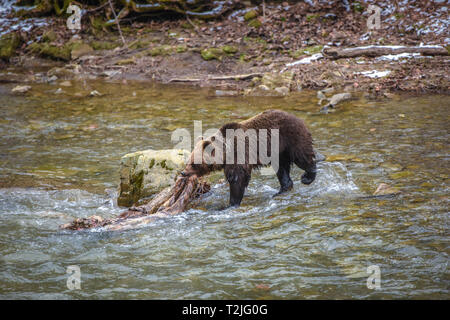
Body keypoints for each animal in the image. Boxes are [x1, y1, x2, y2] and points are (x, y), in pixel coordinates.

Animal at [180, 109, 316, 206]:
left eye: (193, 163)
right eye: (188, 161)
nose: (183, 173)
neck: (226, 151)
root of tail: (297, 118)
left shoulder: (239, 153)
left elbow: (237, 178)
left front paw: (231, 203)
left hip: (290, 138)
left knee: (302, 156)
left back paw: (307, 177)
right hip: (278, 152)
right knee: (282, 169)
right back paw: (281, 190)